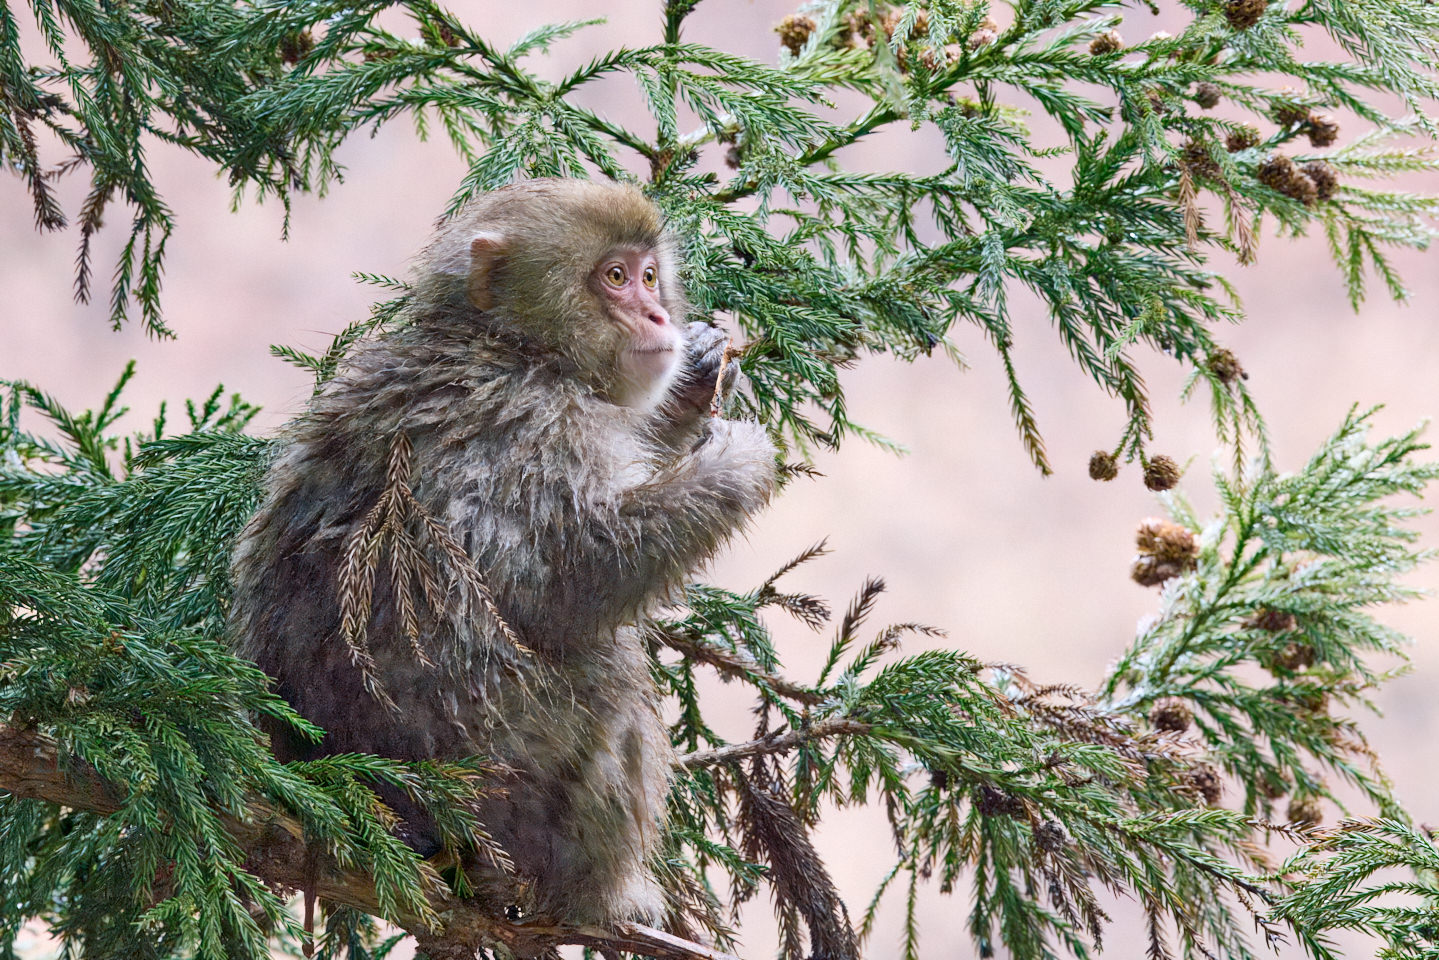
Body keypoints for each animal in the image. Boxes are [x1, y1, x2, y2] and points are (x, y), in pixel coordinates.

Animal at [231, 178, 782, 921]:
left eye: (647, 275)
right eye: (613, 278)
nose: (656, 314)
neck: (512, 346)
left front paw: (693, 384)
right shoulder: (532, 425)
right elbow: (572, 578)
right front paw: (738, 461)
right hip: (508, 797)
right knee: (608, 673)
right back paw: (605, 897)